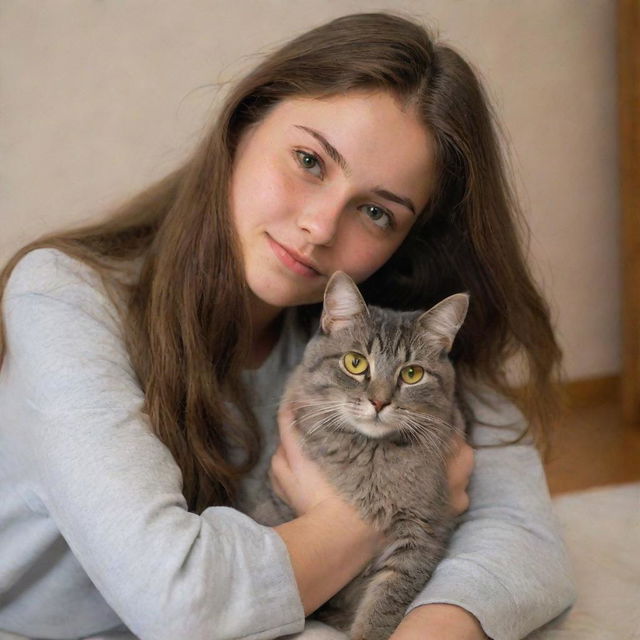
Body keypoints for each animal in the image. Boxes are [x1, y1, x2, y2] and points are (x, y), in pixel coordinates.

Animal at [252, 272, 468, 640]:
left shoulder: (421, 534)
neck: (370, 454)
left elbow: (382, 607)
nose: (379, 402)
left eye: (412, 374)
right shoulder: (276, 504)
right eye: (355, 363)